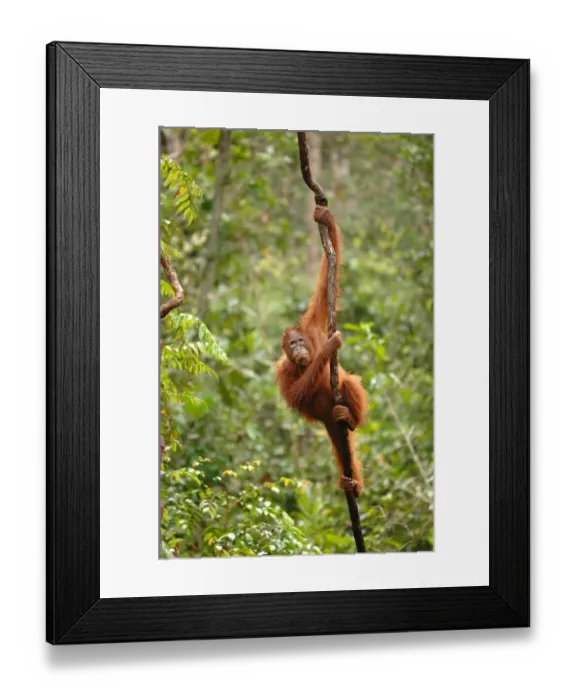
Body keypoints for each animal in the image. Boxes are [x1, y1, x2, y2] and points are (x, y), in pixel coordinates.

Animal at [276, 205, 368, 496]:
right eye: (291, 345)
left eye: (300, 341)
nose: (298, 349)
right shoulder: (282, 370)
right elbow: (295, 394)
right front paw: (328, 348)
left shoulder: (315, 321)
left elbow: (327, 280)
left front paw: (325, 216)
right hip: (328, 423)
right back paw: (349, 482)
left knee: (348, 382)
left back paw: (351, 418)